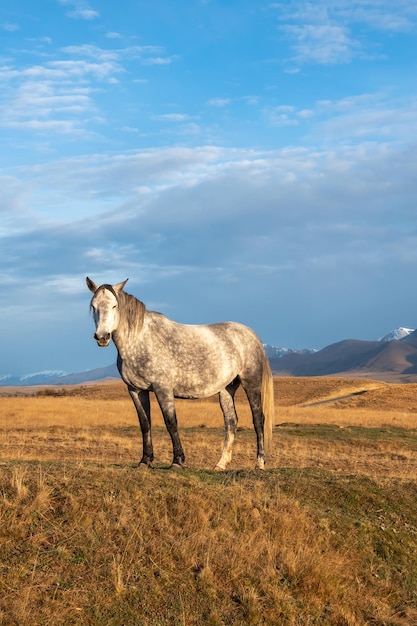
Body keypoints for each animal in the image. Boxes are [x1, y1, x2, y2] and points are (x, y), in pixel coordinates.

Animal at [85, 276, 272, 468]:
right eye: (93, 306)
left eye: (114, 306)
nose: (102, 337)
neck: (139, 341)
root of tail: (251, 334)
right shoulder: (136, 390)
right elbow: (145, 424)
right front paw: (145, 461)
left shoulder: (163, 389)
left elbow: (171, 422)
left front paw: (177, 460)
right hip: (227, 388)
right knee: (231, 422)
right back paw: (220, 464)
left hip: (251, 383)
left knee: (258, 419)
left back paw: (259, 463)